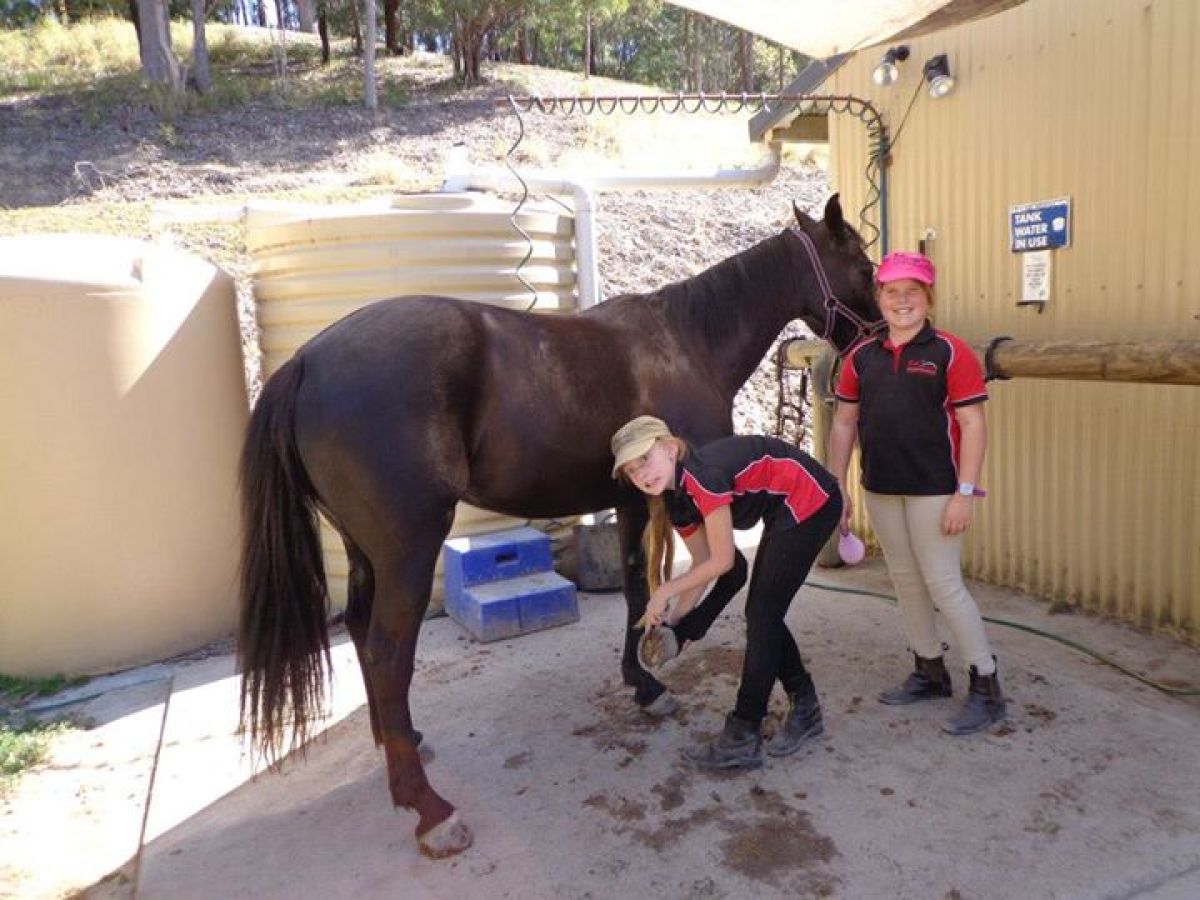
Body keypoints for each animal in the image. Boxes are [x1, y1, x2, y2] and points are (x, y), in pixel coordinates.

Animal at [237, 193, 880, 858]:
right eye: (863, 267)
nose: (879, 336)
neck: (687, 339)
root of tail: (305, 362)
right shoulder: (687, 500)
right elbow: (727, 574)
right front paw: (674, 640)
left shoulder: (633, 499)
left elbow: (637, 589)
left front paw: (643, 681)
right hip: (408, 552)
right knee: (389, 652)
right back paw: (429, 808)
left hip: (365, 551)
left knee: (364, 634)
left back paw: (400, 743)